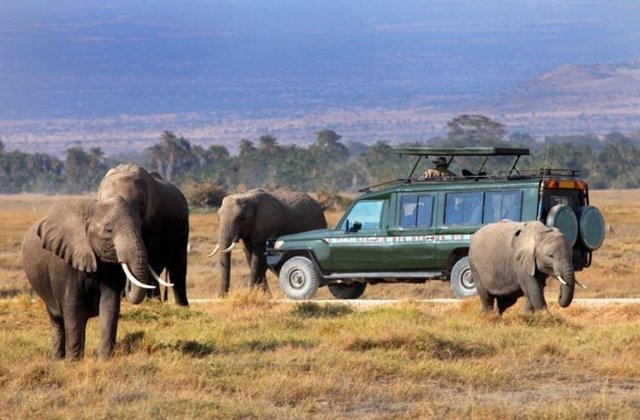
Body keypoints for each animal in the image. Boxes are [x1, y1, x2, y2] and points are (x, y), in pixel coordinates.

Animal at [22, 199, 172, 360]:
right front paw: (73, 362)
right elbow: (72, 307)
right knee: (57, 320)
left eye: (140, 227)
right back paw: (58, 359)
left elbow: (110, 306)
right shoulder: (64, 264)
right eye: (108, 230)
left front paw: (105, 359)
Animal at [97, 163, 188, 306]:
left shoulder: (154, 220)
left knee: (176, 268)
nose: (126, 289)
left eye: (141, 204)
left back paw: (177, 305)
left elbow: (150, 259)